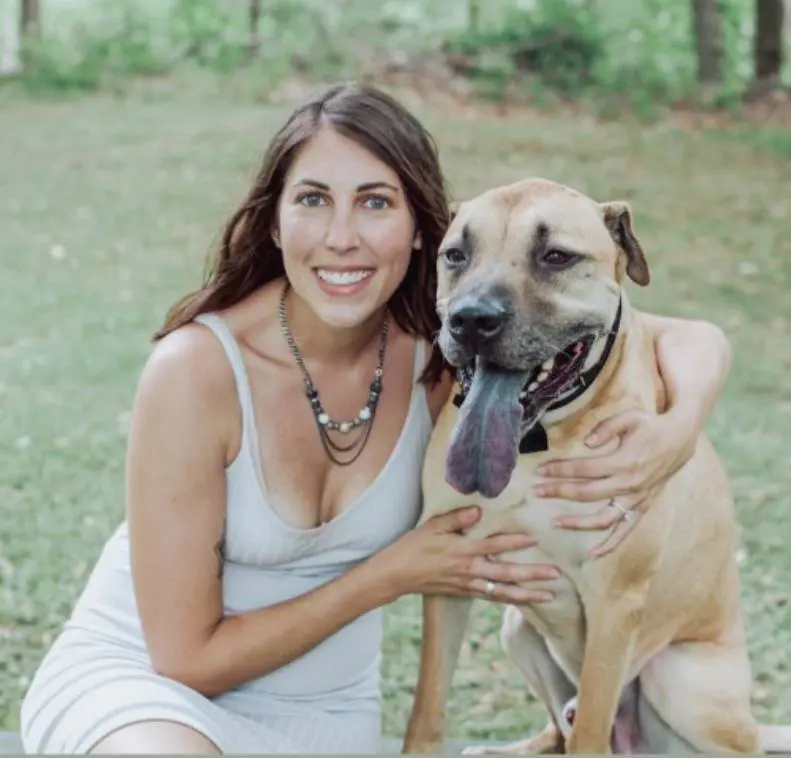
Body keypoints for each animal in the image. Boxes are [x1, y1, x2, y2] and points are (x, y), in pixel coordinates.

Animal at [402, 178, 791, 756]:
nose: (470, 319)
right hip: (517, 627)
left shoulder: (615, 601)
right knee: (557, 728)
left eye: (556, 256)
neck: (538, 442)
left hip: (680, 681)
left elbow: (588, 734)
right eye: (455, 255)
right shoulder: (448, 572)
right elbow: (427, 710)